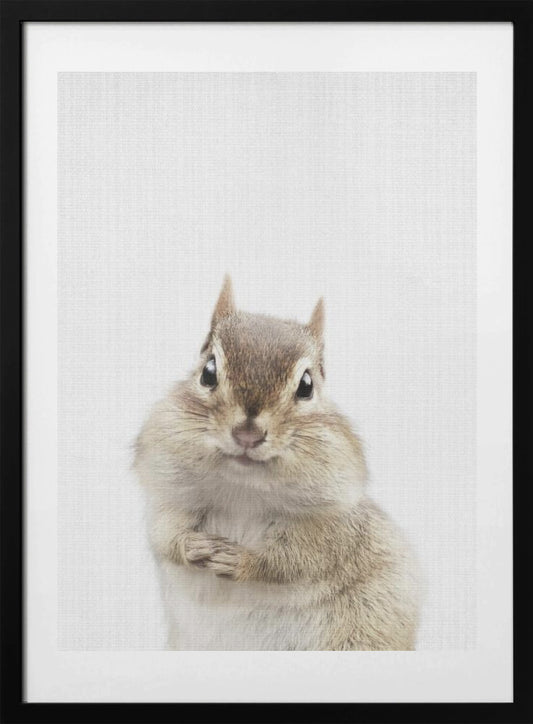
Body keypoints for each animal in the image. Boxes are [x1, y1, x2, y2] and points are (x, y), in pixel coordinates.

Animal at [134, 277, 420, 650]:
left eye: (307, 386)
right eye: (208, 372)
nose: (248, 434)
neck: (242, 490)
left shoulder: (332, 528)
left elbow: (296, 562)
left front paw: (244, 561)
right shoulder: (168, 501)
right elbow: (165, 536)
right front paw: (192, 546)